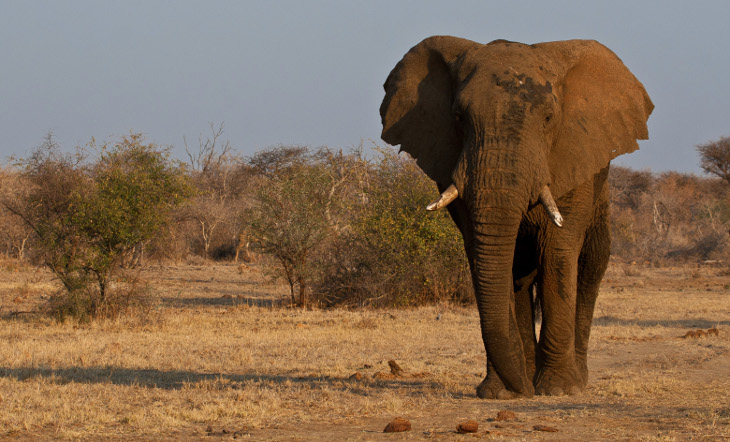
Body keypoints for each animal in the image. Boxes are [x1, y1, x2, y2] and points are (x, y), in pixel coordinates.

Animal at [379, 36, 653, 398]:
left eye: (549, 118)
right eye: (459, 118)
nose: (524, 390)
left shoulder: (574, 158)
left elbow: (557, 252)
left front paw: (558, 390)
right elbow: (484, 257)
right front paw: (499, 393)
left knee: (589, 268)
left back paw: (572, 380)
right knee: (521, 275)